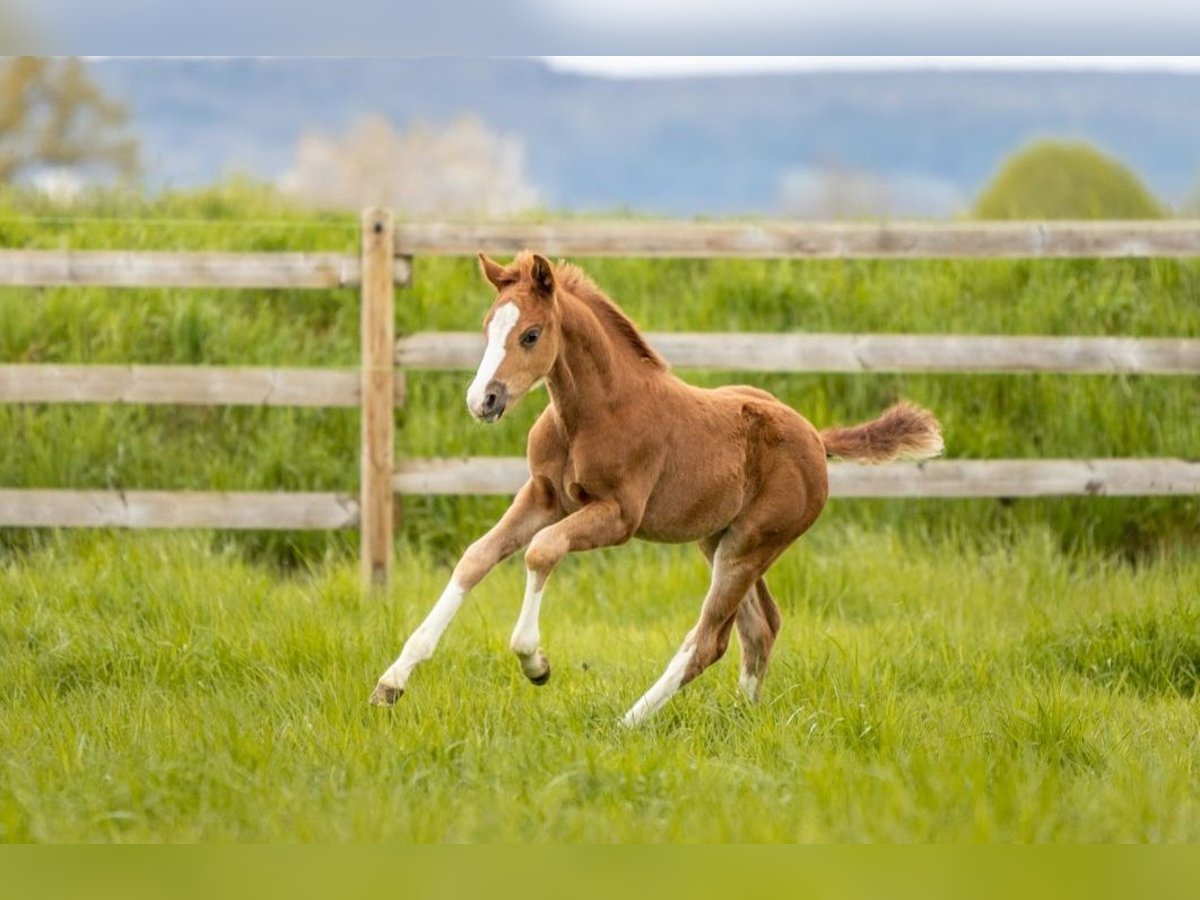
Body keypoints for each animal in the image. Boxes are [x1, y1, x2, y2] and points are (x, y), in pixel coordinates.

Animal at [369, 252, 940, 724]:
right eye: (488, 328)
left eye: (531, 334)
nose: (482, 400)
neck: (592, 413)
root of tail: (816, 440)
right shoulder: (544, 496)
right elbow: (476, 557)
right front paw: (391, 682)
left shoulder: (620, 515)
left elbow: (542, 550)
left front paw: (535, 662)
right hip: (720, 540)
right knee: (760, 627)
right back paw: (743, 716)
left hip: (750, 545)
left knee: (709, 639)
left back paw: (630, 722)